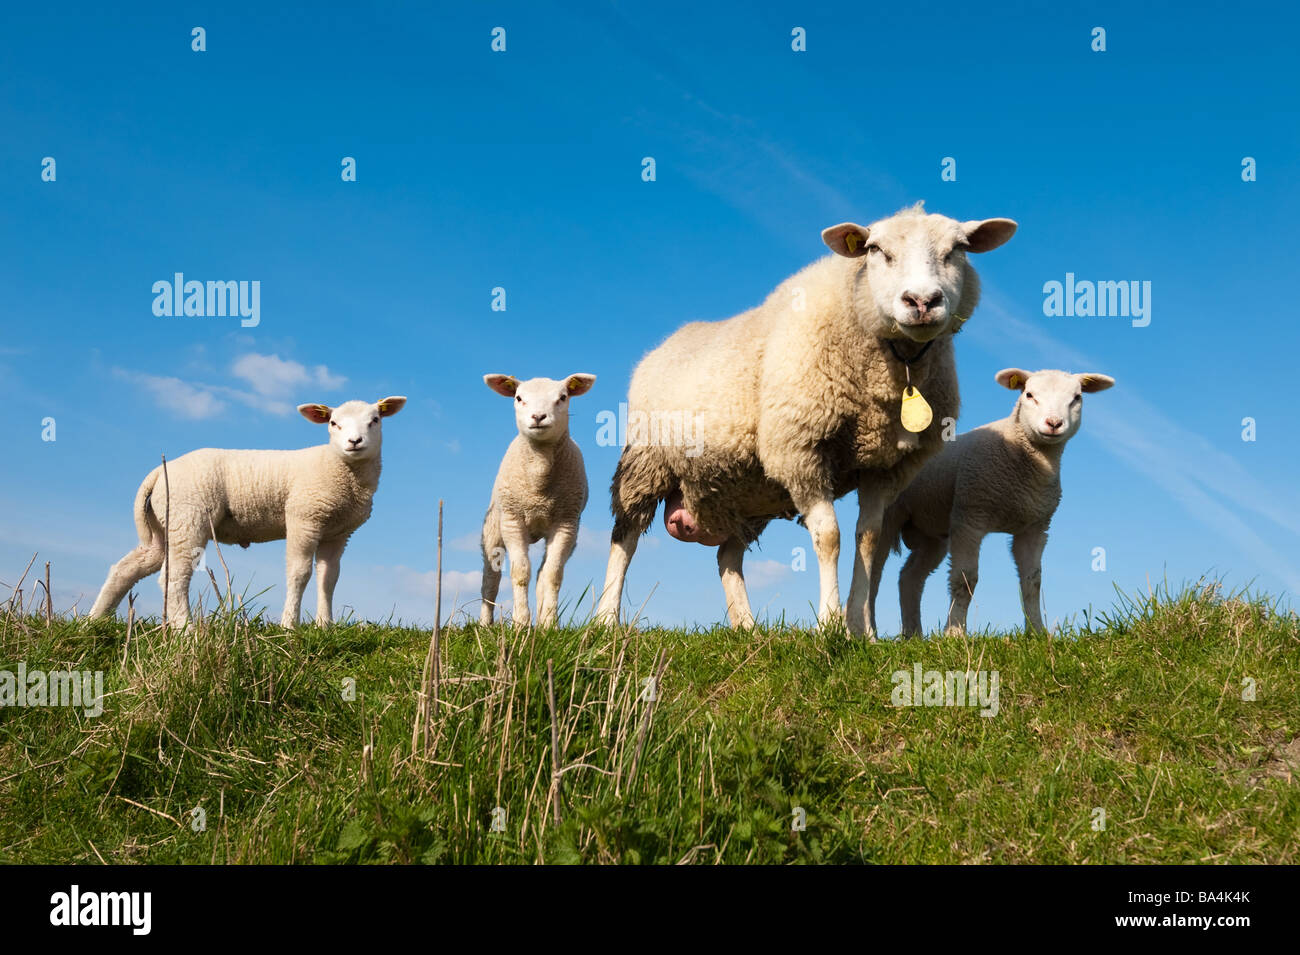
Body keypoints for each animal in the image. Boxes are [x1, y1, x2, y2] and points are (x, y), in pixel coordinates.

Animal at [88, 396, 407, 629]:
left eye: (375, 420)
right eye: (333, 423)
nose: (355, 442)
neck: (338, 468)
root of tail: (158, 471)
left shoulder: (338, 532)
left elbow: (328, 579)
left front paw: (324, 626)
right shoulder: (304, 518)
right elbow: (299, 573)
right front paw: (289, 626)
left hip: (164, 525)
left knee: (127, 568)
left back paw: (95, 620)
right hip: (189, 517)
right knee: (175, 574)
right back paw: (185, 630)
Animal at [479, 374, 596, 627]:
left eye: (562, 397)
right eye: (518, 397)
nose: (538, 417)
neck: (539, 488)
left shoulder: (565, 523)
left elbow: (552, 575)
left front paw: (550, 624)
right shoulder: (512, 521)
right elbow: (520, 572)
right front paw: (521, 623)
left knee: (544, 572)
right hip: (493, 528)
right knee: (490, 578)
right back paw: (484, 624)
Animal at [595, 203, 1017, 635]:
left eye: (958, 249)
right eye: (875, 249)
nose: (921, 301)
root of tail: (663, 345)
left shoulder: (885, 468)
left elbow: (868, 539)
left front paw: (860, 629)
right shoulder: (800, 447)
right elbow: (829, 536)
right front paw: (829, 624)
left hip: (745, 492)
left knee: (727, 558)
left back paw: (747, 628)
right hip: (647, 461)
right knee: (625, 536)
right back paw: (606, 618)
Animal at [870, 368, 1115, 636]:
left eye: (1076, 398)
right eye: (1029, 395)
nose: (1053, 423)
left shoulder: (1035, 527)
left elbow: (1033, 582)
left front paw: (1037, 632)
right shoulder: (970, 517)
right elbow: (965, 579)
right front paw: (955, 634)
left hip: (932, 533)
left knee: (910, 577)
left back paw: (913, 634)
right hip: (890, 513)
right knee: (873, 572)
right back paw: (868, 629)